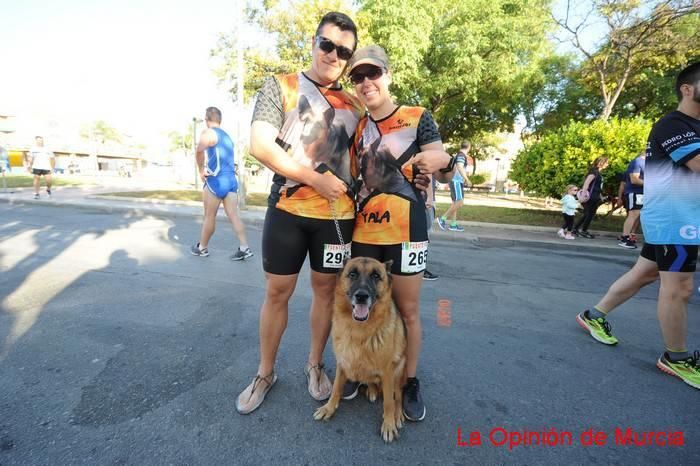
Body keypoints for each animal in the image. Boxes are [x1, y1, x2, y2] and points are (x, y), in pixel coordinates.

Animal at [314, 256, 408, 442]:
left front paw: (388, 424)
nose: (361, 296)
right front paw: (329, 408)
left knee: (398, 394)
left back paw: (397, 413)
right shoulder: (342, 363)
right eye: (352, 274)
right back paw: (371, 390)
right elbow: (336, 388)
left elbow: (388, 401)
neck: (359, 330)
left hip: (399, 369)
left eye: (376, 276)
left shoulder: (388, 371)